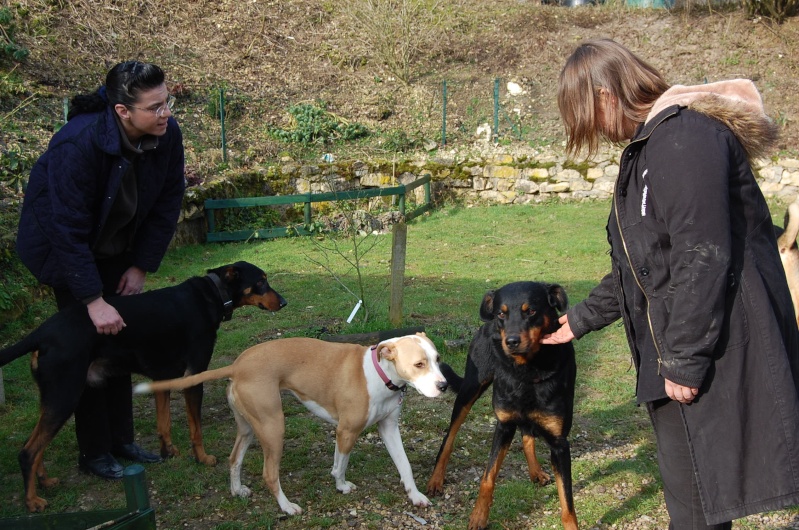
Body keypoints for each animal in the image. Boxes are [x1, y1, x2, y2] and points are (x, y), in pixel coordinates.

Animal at [0, 260, 286, 512]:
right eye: (261, 281)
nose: (283, 302)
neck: (211, 294)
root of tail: (42, 332)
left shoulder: (162, 378)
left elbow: (164, 424)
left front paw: (168, 452)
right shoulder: (194, 376)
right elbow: (196, 429)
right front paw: (202, 458)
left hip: (52, 397)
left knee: (35, 445)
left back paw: (44, 481)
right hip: (65, 395)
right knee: (28, 451)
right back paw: (32, 501)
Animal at [138, 334, 450, 512]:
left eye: (437, 359)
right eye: (419, 364)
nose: (444, 385)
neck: (381, 373)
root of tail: (237, 365)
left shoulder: (389, 428)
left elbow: (405, 465)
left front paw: (415, 496)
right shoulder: (346, 431)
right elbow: (340, 465)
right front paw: (341, 486)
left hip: (249, 428)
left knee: (234, 458)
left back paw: (237, 490)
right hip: (274, 427)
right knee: (269, 474)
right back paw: (287, 507)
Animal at [428, 280, 580, 528]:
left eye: (531, 311)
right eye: (502, 313)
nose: (511, 342)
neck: (527, 370)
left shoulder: (559, 443)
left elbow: (567, 503)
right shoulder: (504, 425)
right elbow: (488, 477)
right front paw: (478, 517)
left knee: (527, 435)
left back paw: (536, 471)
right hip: (470, 389)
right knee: (449, 438)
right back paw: (436, 479)